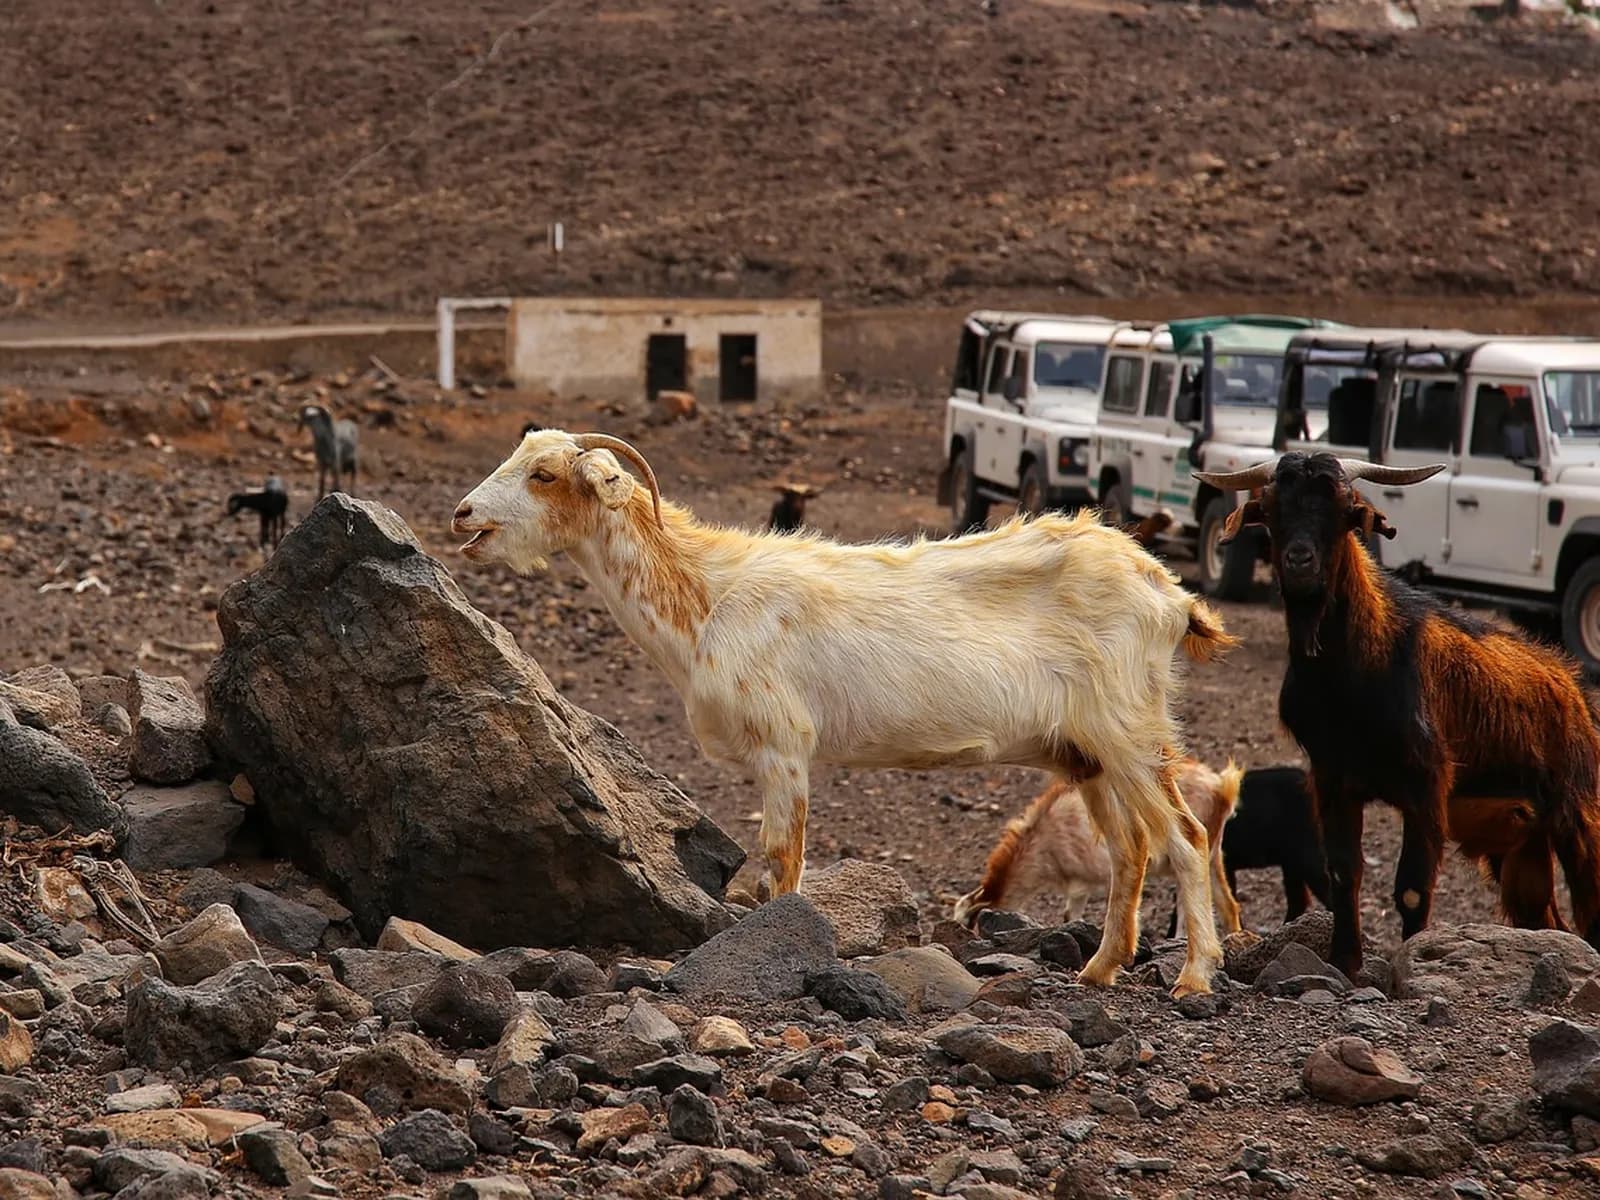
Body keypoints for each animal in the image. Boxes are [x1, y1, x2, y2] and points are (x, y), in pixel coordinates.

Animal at [954, 757, 1245, 936]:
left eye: (970, 924)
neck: (1042, 839)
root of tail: (1221, 786)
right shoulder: (1078, 885)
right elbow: (1071, 916)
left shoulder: (1099, 876)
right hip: (1213, 855)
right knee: (1228, 905)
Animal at [1196, 452, 1600, 975]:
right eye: (1269, 507)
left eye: (1345, 509)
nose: (1300, 561)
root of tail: (1573, 688)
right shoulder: (1332, 778)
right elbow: (1343, 873)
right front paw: (1344, 962)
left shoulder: (1426, 785)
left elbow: (1411, 889)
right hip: (1518, 840)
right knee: (1546, 919)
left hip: (1578, 815)